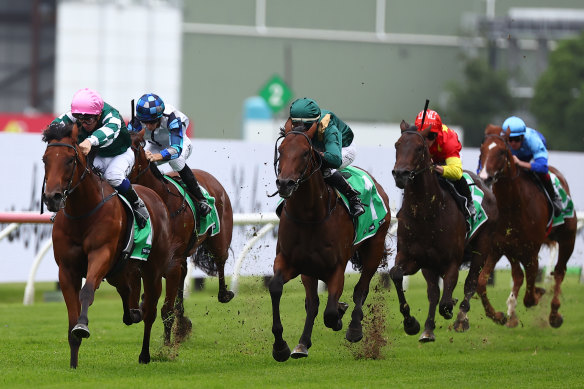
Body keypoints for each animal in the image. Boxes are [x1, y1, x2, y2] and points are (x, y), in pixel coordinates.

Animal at [42, 122, 177, 366]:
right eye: (45, 159)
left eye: (70, 159)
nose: (52, 197)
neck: (83, 212)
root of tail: (156, 196)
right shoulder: (66, 269)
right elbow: (71, 310)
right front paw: (73, 362)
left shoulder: (101, 255)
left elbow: (86, 291)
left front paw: (82, 326)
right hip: (119, 271)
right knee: (127, 290)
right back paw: (132, 313)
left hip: (153, 270)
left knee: (151, 311)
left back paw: (145, 354)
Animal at [129, 130, 234, 342]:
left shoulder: (172, 262)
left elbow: (166, 310)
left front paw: (167, 344)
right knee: (184, 276)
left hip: (219, 240)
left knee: (220, 261)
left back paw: (224, 294)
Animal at [270, 118, 392, 360]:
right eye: (281, 150)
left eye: (306, 153)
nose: (285, 184)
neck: (309, 216)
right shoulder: (292, 261)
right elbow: (277, 288)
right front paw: (281, 347)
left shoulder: (336, 267)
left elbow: (331, 312)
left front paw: (340, 316)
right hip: (310, 269)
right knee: (313, 303)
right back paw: (302, 344)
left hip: (374, 247)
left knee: (360, 289)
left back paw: (354, 328)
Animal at [390, 120, 500, 340]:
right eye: (397, 144)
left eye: (420, 148)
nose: (400, 174)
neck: (426, 214)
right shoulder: (415, 258)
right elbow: (397, 275)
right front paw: (412, 324)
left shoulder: (451, 261)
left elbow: (447, 297)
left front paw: (449, 309)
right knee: (435, 292)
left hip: (482, 247)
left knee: (471, 283)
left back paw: (461, 319)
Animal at [476, 125, 576, 328]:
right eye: (482, 150)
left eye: (502, 151)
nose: (485, 177)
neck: (513, 207)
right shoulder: (497, 247)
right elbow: (482, 282)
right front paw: (498, 315)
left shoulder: (531, 251)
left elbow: (530, 295)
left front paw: (538, 294)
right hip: (512, 249)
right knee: (518, 276)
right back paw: (512, 314)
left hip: (568, 239)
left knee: (559, 272)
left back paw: (554, 314)